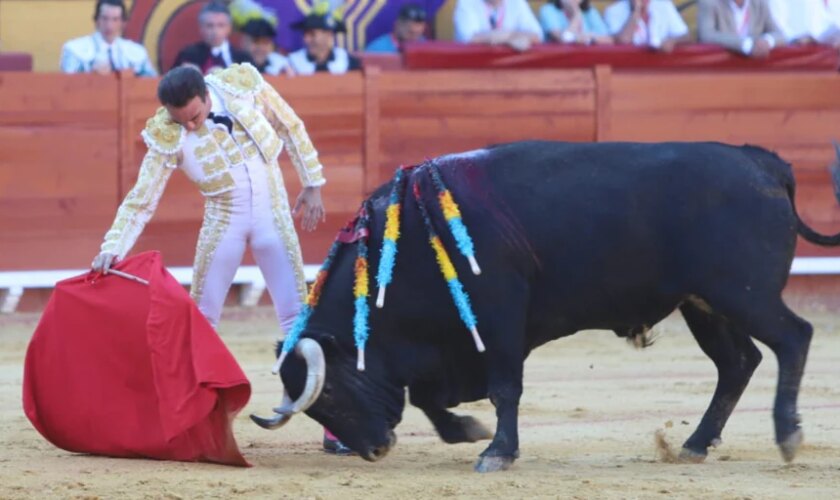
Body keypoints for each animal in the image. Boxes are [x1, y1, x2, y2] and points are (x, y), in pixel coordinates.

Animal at [253, 140, 840, 472]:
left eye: (331, 395)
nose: (374, 450)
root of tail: (761, 162)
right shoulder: (449, 341)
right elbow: (428, 396)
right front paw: (468, 432)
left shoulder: (498, 317)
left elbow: (503, 388)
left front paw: (496, 452)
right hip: (704, 304)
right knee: (739, 362)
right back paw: (695, 445)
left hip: (743, 294)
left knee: (793, 338)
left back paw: (787, 436)